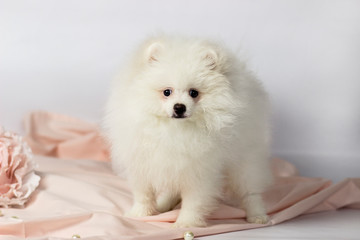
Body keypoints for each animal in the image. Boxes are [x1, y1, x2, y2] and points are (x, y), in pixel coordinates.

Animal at [102, 35, 272, 227]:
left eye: (194, 93)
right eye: (167, 92)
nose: (179, 107)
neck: (174, 129)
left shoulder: (200, 170)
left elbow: (193, 201)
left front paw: (186, 223)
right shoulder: (143, 162)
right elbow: (143, 193)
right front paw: (140, 213)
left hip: (245, 158)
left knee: (250, 190)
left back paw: (257, 215)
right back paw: (163, 205)